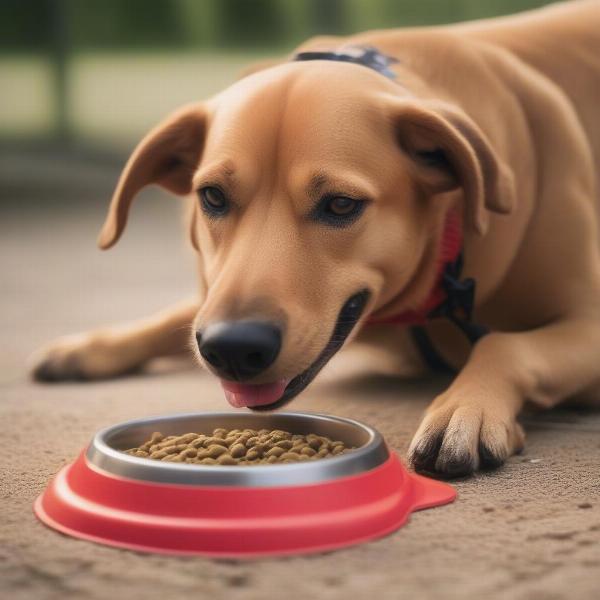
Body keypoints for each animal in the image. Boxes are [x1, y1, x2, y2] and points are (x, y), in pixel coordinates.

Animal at [29, 1, 600, 478]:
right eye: (212, 196)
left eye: (341, 205)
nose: (232, 348)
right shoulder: (211, 303)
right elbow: (178, 317)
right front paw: (91, 345)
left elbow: (505, 345)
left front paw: (465, 408)